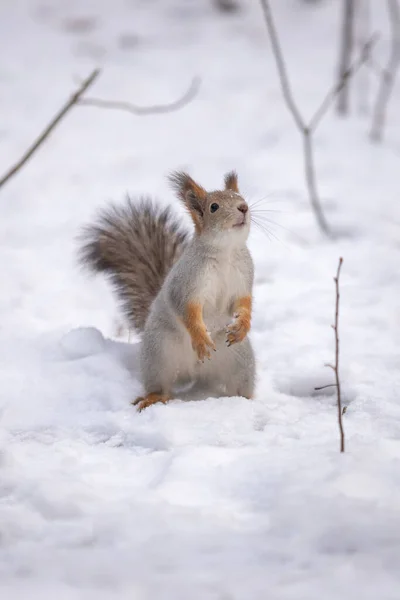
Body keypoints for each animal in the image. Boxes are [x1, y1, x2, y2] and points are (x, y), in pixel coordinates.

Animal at [79, 171, 255, 410]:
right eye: (214, 207)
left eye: (241, 197)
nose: (243, 208)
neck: (226, 252)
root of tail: (196, 373)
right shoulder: (186, 283)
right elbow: (186, 310)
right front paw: (200, 339)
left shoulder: (244, 279)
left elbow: (244, 304)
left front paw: (242, 326)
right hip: (159, 354)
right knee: (160, 386)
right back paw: (153, 398)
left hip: (239, 360)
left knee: (239, 384)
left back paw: (245, 400)